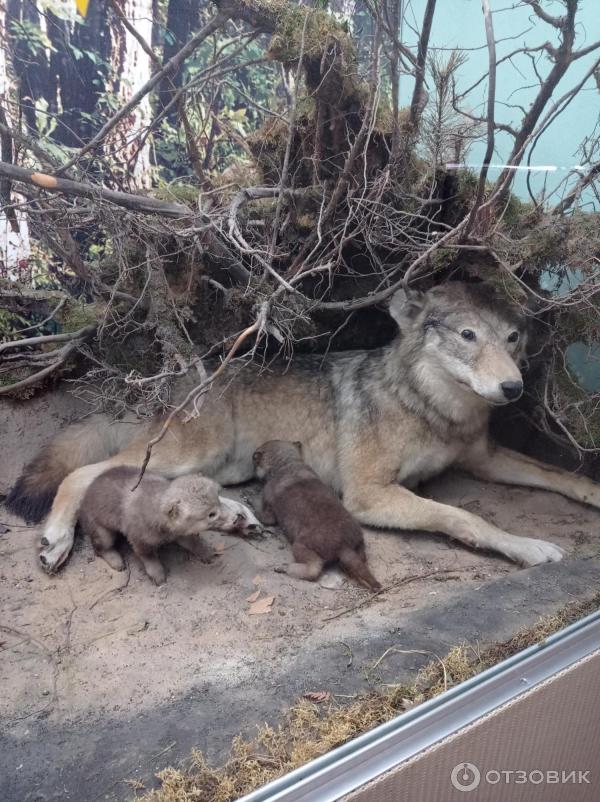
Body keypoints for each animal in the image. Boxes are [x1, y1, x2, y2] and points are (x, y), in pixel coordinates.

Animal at [5, 280, 600, 568]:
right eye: (467, 336)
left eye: (512, 338)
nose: (513, 389)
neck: (431, 409)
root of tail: (171, 384)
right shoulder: (369, 495)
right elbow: (465, 518)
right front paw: (529, 547)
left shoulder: (485, 458)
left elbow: (558, 474)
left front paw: (592, 491)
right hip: (189, 453)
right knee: (87, 475)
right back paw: (56, 539)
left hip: (220, 465)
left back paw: (238, 515)